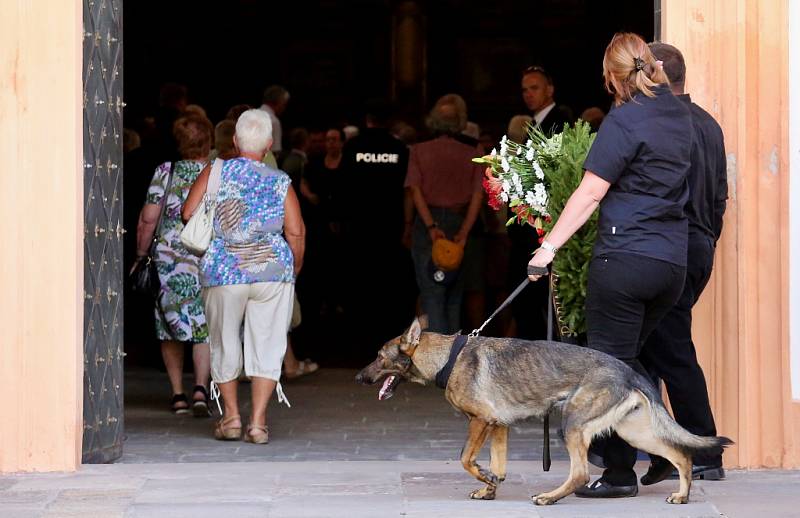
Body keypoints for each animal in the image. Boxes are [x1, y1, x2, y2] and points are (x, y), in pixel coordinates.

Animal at [356, 318, 732, 506]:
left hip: (573, 425)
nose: (358, 378)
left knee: (580, 473)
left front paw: (484, 480)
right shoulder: (498, 425)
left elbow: (465, 459)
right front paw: (490, 488)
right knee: (680, 455)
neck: (449, 356)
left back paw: (549, 498)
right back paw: (682, 495)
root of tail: (628, 371)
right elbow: (497, 466)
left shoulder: (481, 421)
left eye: (379, 356)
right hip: (632, 431)